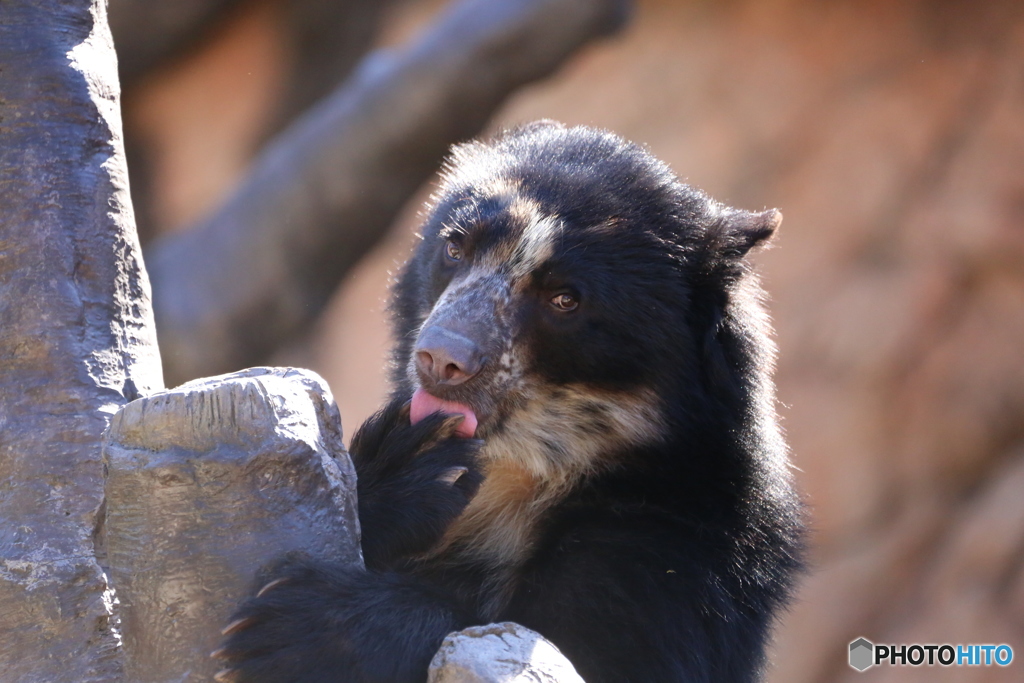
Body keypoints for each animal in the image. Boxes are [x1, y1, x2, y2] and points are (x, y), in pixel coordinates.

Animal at [218, 121, 806, 683]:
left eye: (565, 299)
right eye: (455, 248)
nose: (440, 359)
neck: (521, 471)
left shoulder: (673, 539)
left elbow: (592, 649)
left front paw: (299, 630)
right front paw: (410, 466)